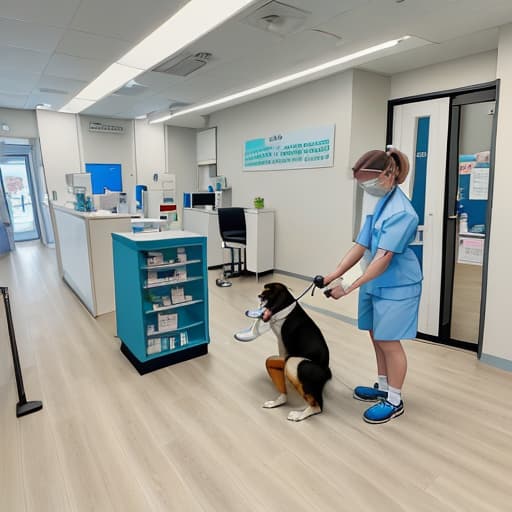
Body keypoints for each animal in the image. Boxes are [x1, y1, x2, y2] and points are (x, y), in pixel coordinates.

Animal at [260, 282, 332, 422]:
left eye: (268, 293)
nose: (259, 296)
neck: (286, 308)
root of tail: (326, 372)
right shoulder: (282, 351)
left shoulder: (284, 345)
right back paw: (277, 402)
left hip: (295, 364)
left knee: (318, 406)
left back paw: (300, 415)